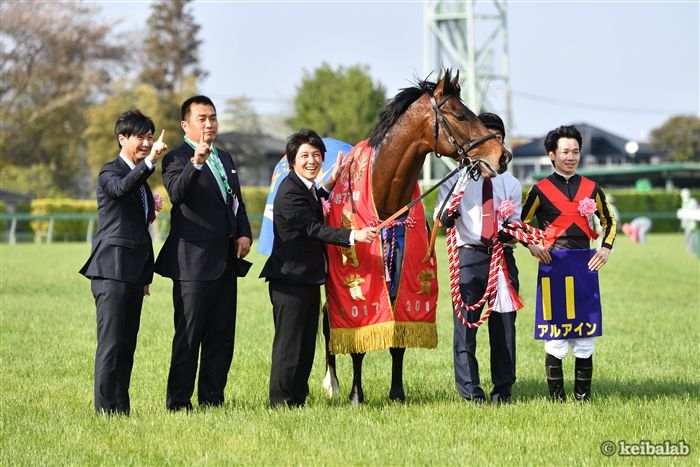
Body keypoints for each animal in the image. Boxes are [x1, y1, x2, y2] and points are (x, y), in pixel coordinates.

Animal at [321, 69, 512, 404]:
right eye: (460, 115)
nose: (502, 157)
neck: (385, 200)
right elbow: (359, 337)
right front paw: (357, 395)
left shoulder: (401, 277)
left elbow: (399, 338)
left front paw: (397, 393)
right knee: (326, 322)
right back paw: (331, 382)